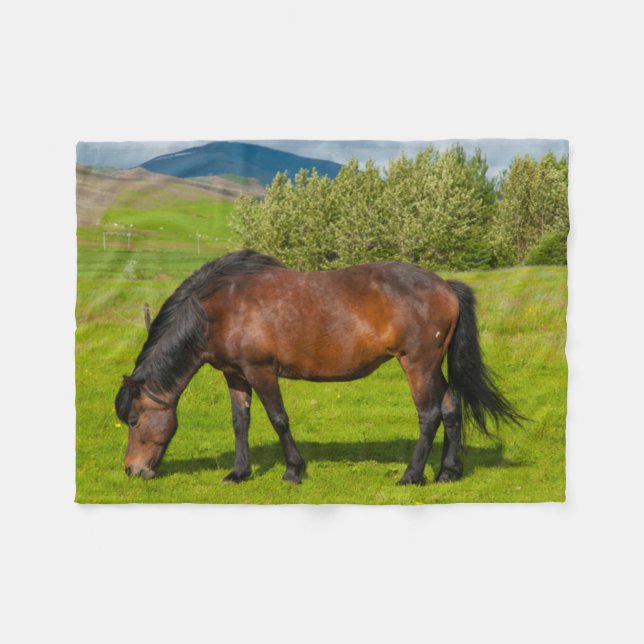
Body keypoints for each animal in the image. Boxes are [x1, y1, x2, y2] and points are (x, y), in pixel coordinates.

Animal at [115, 249, 523, 485]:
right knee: (451, 407)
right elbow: (240, 422)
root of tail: (447, 286)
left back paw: (411, 476)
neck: (222, 307)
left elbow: (279, 419)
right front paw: (239, 472)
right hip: (433, 366)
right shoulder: (235, 374)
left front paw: (293, 470)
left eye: (134, 420)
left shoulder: (261, 371)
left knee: (430, 415)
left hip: (418, 366)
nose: (133, 470)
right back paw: (448, 472)